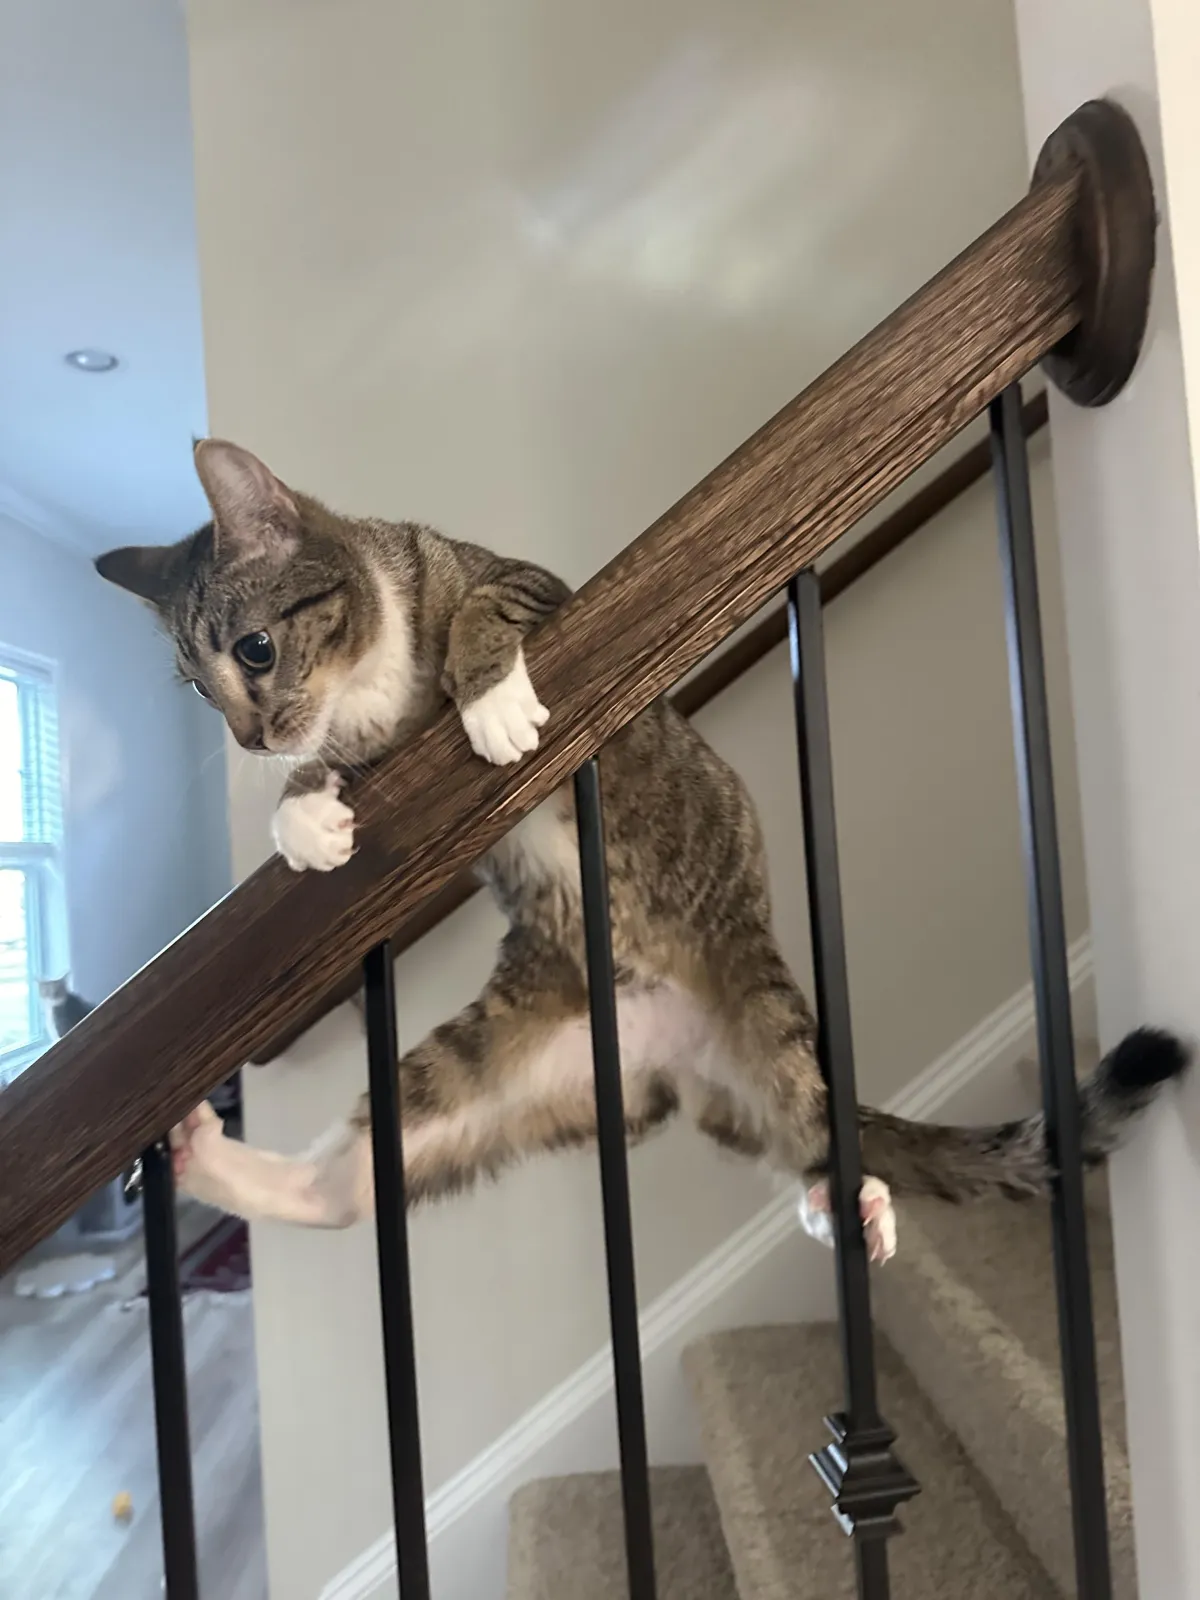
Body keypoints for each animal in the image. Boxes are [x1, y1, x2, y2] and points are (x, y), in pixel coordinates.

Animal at [95, 439, 1189, 1259]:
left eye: (255, 651)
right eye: (202, 691)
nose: (249, 741)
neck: (371, 683)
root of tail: (683, 1052)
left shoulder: (525, 580)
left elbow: (488, 605)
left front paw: (487, 700)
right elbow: (334, 770)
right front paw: (302, 814)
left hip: (761, 999)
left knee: (813, 1119)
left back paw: (855, 1198)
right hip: (511, 1061)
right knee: (359, 1175)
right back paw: (219, 1162)